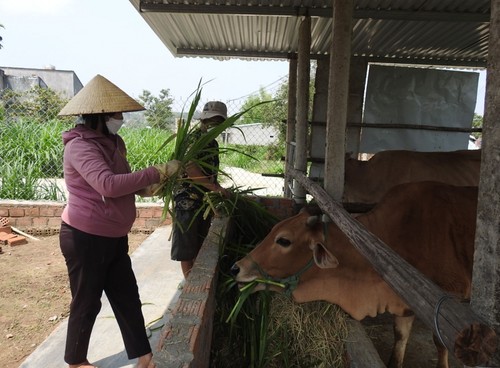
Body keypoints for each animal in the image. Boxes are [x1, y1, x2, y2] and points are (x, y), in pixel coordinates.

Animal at [232, 182, 478, 368]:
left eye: (284, 240)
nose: (236, 268)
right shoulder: (405, 301)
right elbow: (400, 338)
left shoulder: (447, 300)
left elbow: (440, 342)